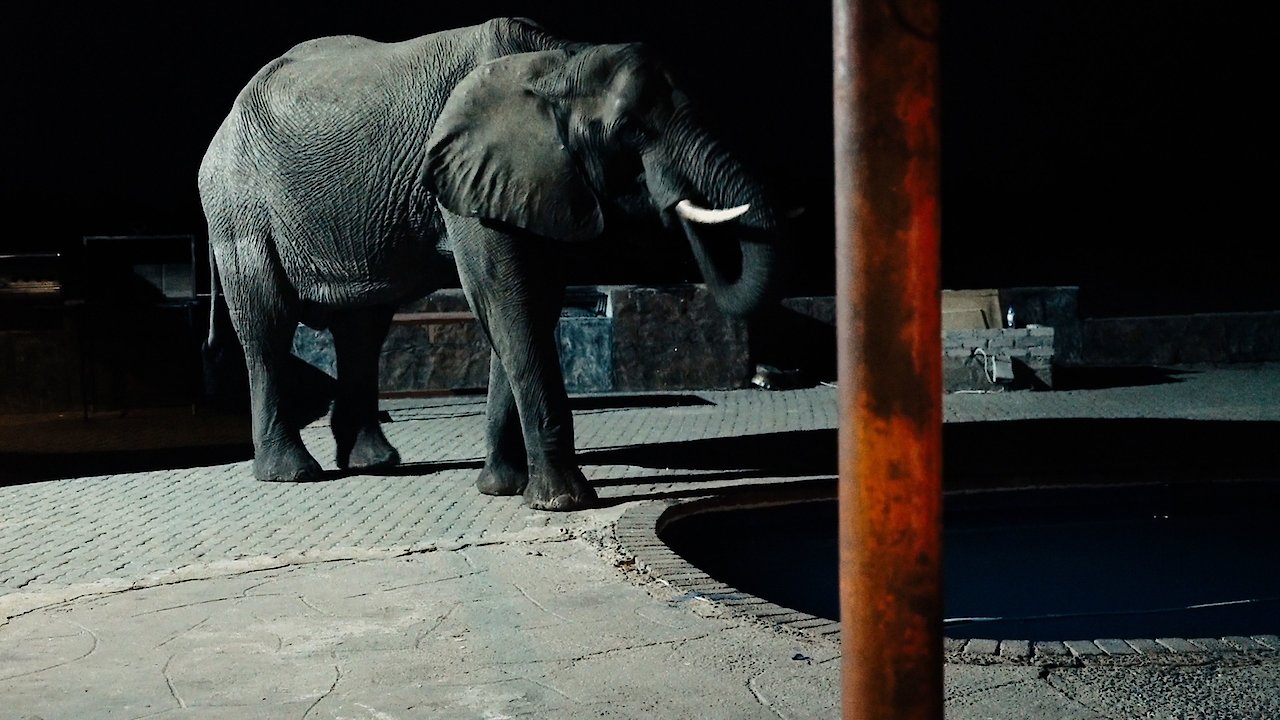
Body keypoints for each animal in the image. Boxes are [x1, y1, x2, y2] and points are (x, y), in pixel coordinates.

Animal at [198, 18, 787, 511]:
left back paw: (375, 463)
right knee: (268, 324)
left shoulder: (534, 178)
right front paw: (562, 502)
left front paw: (503, 488)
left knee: (363, 328)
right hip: (238, 210)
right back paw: (292, 473)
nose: (671, 202)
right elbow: (505, 296)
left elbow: (532, 304)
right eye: (630, 131)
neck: (559, 59)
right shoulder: (464, 176)